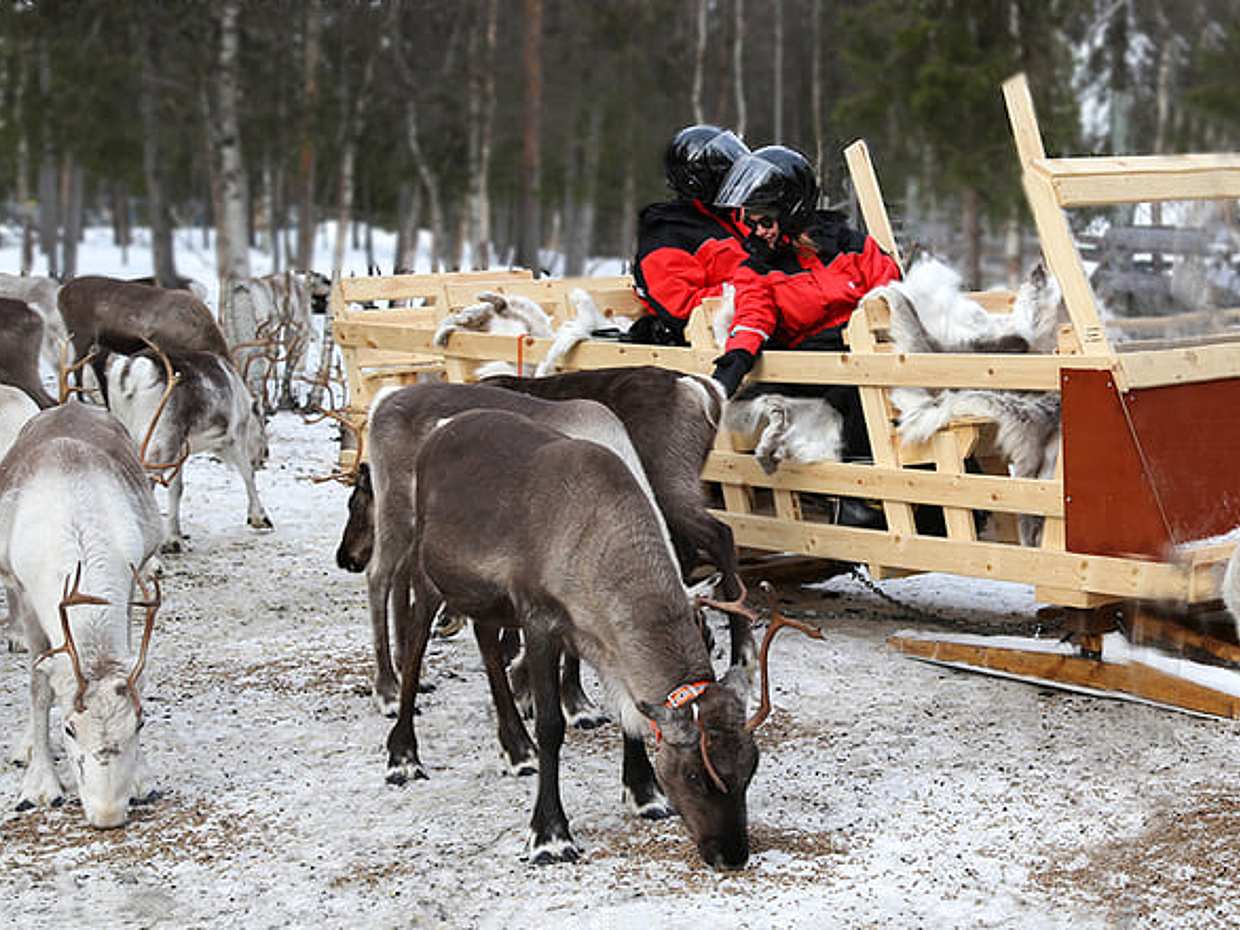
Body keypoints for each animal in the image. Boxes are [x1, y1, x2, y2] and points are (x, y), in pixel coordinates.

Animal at [0, 401, 165, 828]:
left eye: (141, 723)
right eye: (69, 728)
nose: (107, 815)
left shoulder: (131, 585)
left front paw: (142, 778)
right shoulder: (26, 596)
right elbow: (40, 689)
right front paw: (40, 784)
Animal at [385, 408, 820, 869]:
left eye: (750, 768)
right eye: (694, 775)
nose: (732, 855)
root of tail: (441, 428)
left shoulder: (601, 637)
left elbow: (629, 711)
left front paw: (645, 795)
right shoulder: (540, 620)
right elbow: (551, 725)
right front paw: (550, 835)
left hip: (488, 599)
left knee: (486, 641)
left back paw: (517, 751)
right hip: (429, 571)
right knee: (415, 644)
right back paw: (403, 756)